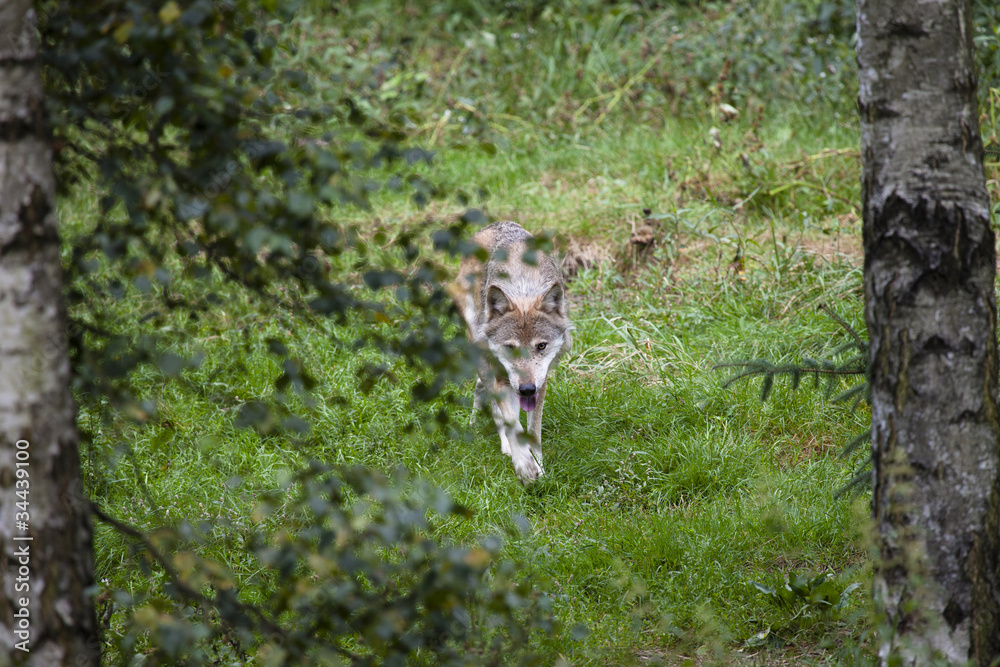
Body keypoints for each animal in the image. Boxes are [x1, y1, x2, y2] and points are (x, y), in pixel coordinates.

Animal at [451, 221, 573, 482]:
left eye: (541, 346)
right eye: (510, 347)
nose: (526, 389)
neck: (523, 289)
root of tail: (493, 225)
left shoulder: (541, 383)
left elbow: (533, 432)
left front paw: (540, 468)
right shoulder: (503, 381)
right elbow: (512, 424)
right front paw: (525, 466)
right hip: (483, 358)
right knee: (497, 410)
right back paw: (506, 446)